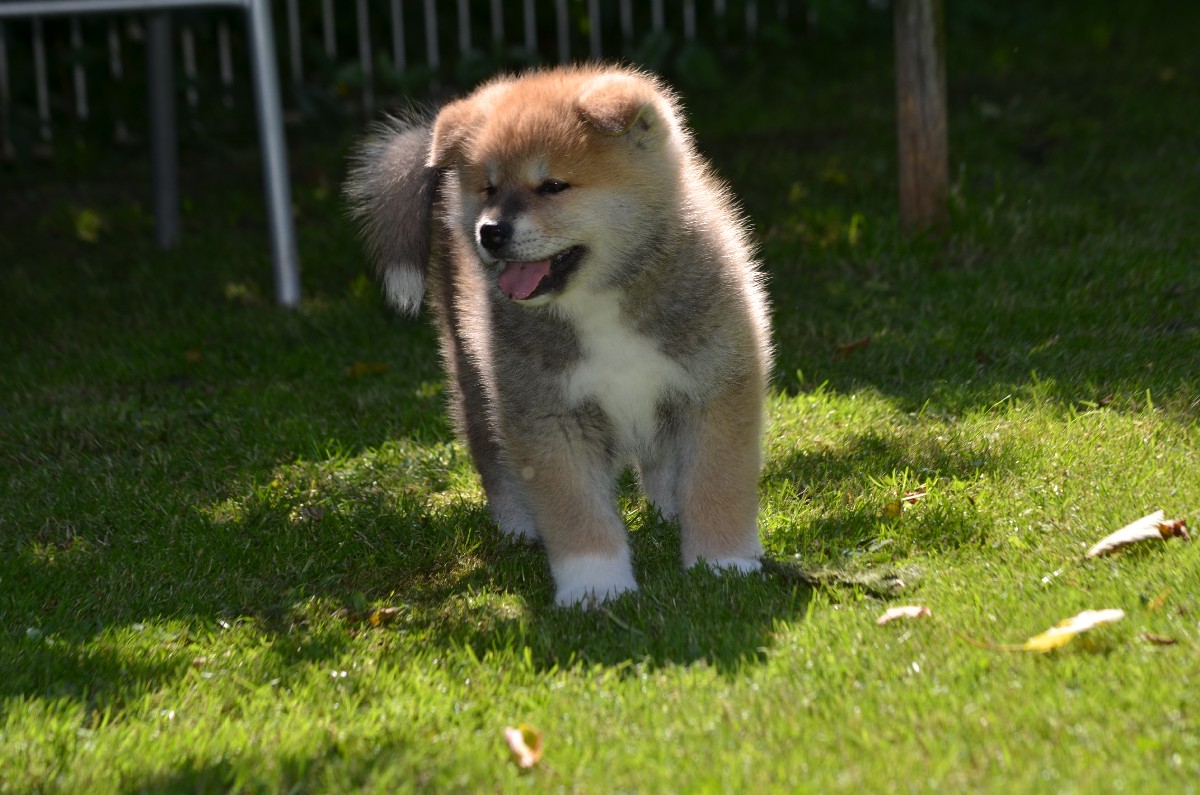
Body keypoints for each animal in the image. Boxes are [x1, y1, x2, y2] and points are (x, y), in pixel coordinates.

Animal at [346, 65, 772, 606]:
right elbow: (575, 510)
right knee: (493, 456)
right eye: (488, 189)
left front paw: (722, 562)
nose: (490, 232)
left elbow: (717, 484)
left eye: (552, 186)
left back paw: (666, 512)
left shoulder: (713, 388)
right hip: (472, 375)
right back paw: (518, 526)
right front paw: (595, 587)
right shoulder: (549, 413)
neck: (599, 302)